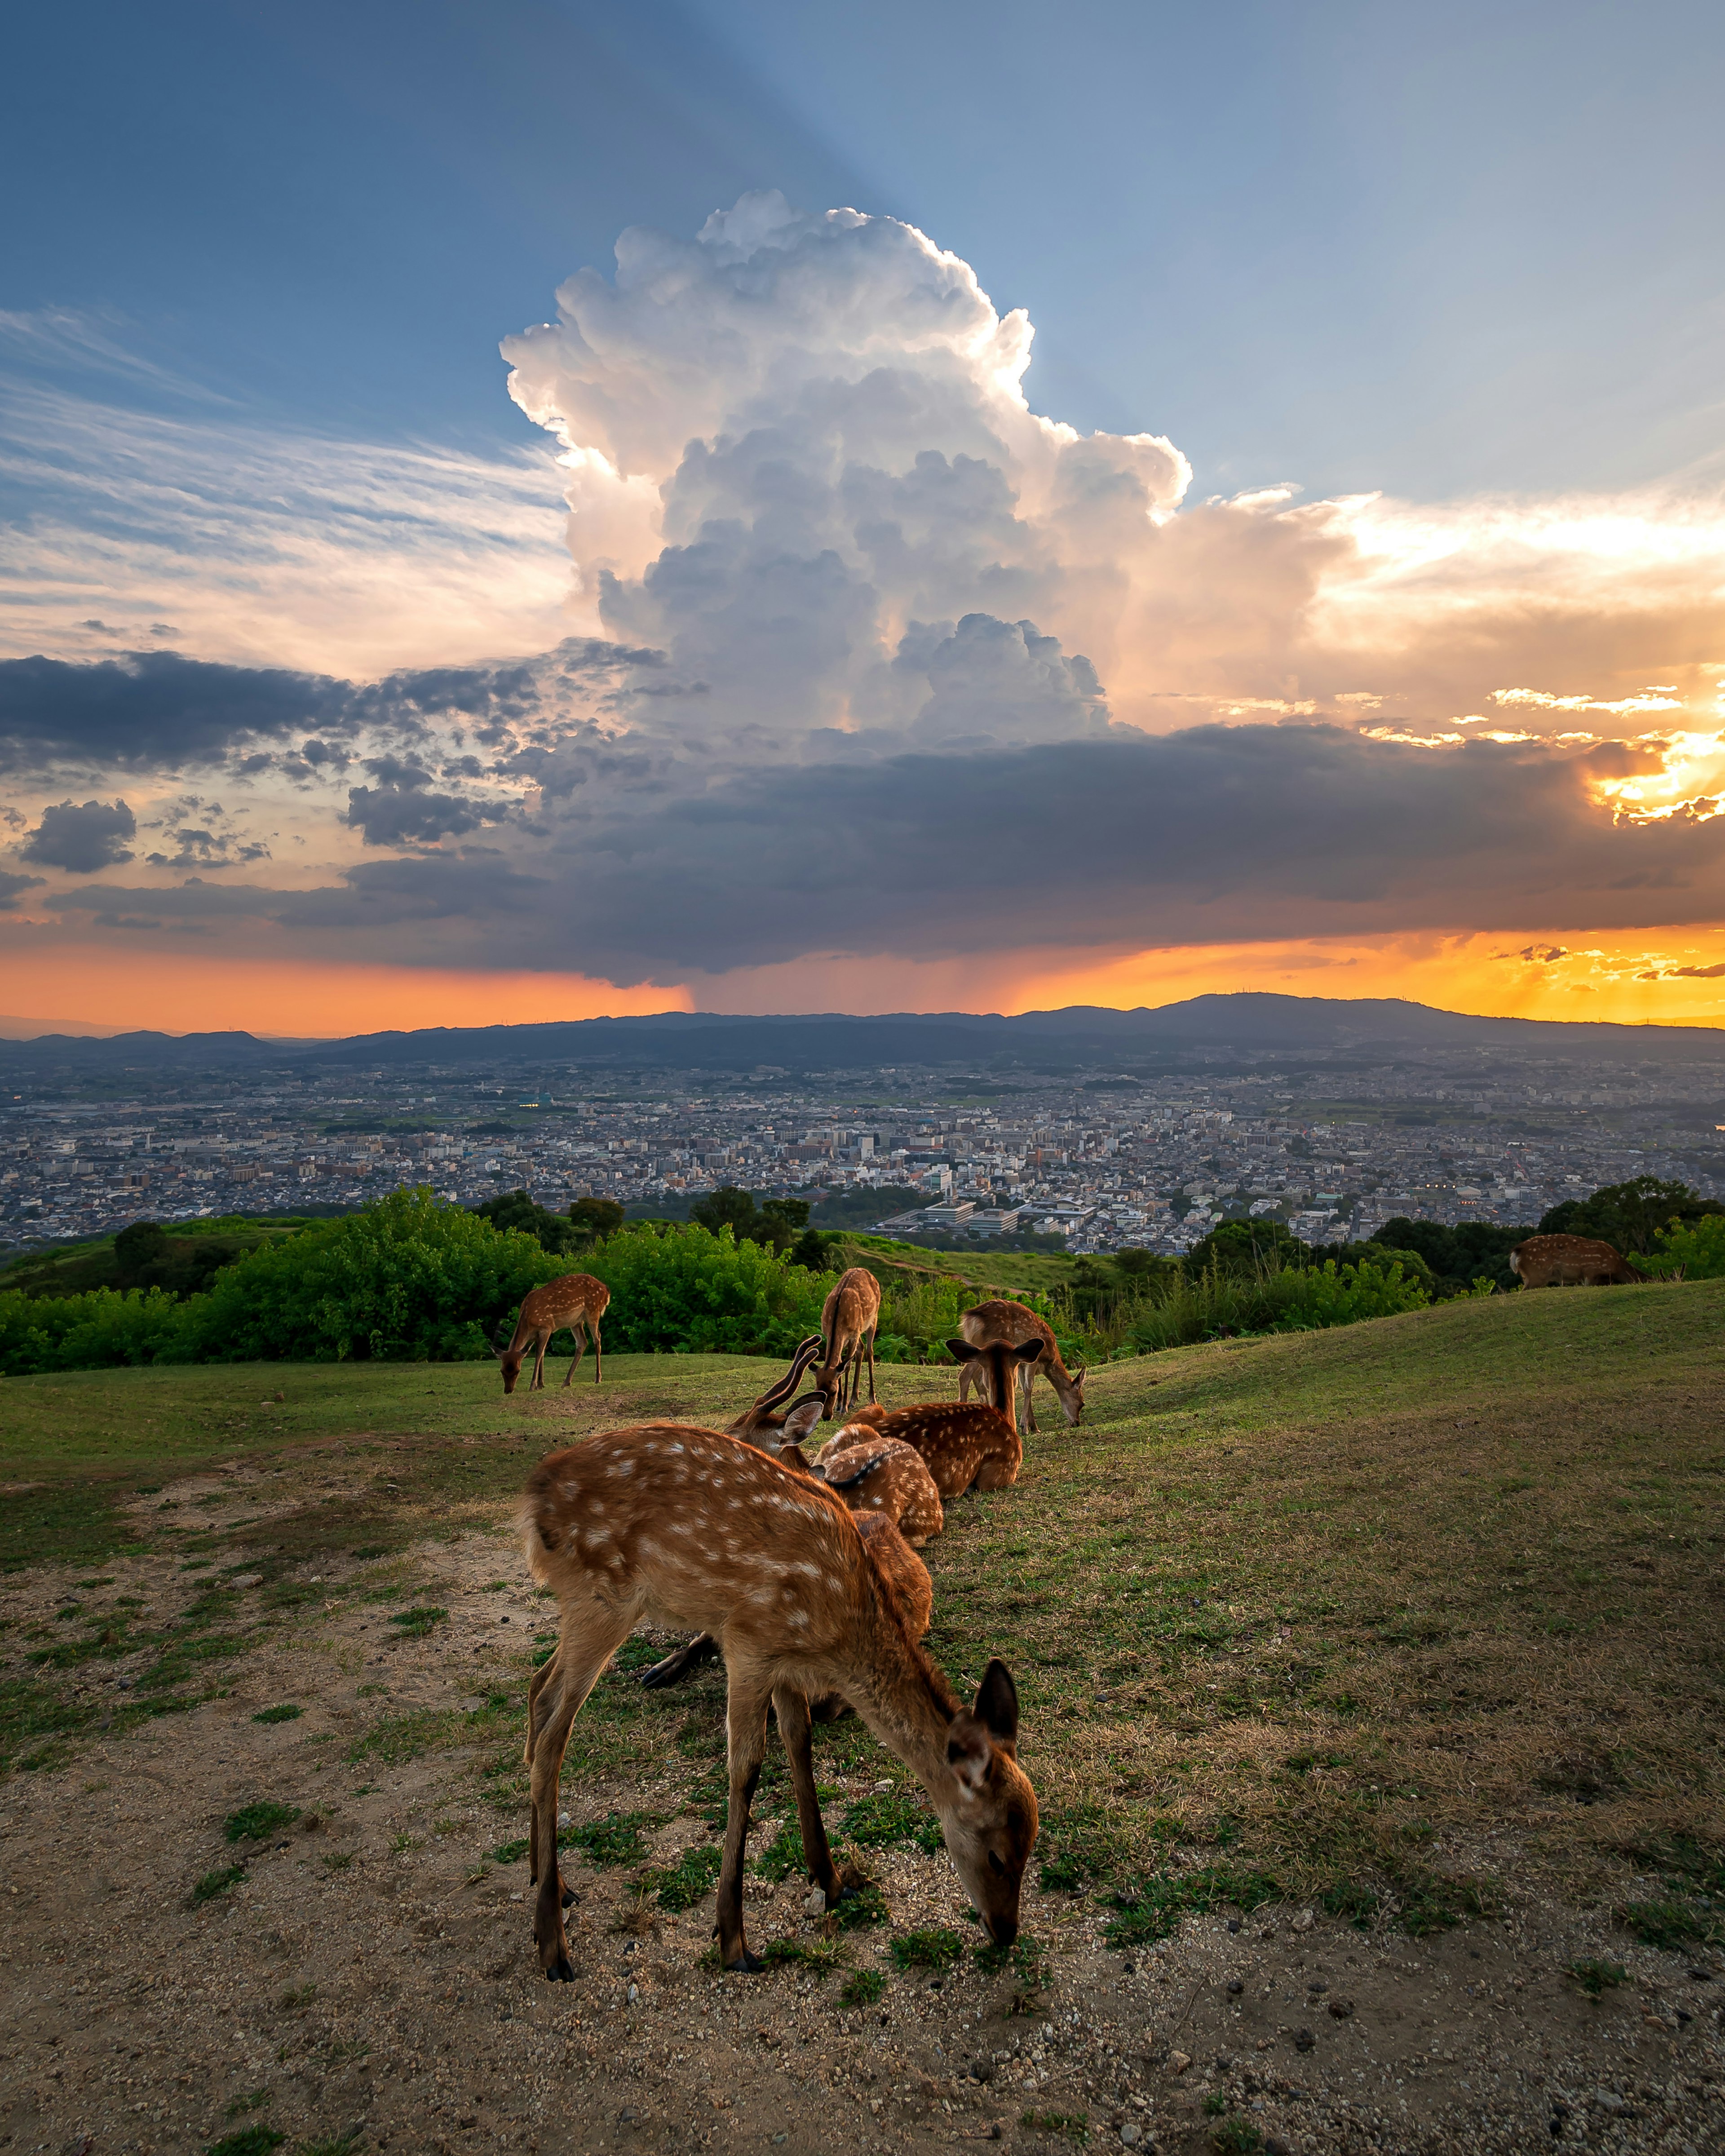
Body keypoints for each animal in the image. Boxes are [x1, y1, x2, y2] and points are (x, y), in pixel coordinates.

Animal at [496, 1259, 608, 1397]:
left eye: (517, 1371)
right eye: (502, 1371)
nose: (508, 1391)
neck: (528, 1320)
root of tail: (607, 1291)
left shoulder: (546, 1326)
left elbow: (539, 1353)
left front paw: (533, 1385)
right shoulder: (538, 1334)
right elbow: (542, 1353)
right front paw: (540, 1384)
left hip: (593, 1311)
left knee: (597, 1338)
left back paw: (598, 1378)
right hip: (576, 1322)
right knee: (582, 1343)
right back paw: (566, 1382)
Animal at [515, 1423, 1039, 1974]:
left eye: (1031, 1845)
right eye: (998, 1854)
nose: (1006, 1931)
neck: (836, 1634)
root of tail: (531, 1500)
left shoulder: (785, 1660)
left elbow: (800, 1743)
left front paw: (830, 1878)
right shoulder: (749, 1642)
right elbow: (745, 1768)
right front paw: (733, 1938)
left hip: (585, 1607)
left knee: (539, 1689)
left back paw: (550, 1880)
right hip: (603, 1598)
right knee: (553, 1739)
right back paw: (553, 1941)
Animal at [815, 1259, 884, 1414]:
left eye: (833, 1392)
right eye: (817, 1390)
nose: (825, 1413)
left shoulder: (853, 1334)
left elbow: (846, 1367)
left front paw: (843, 1406)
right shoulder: (831, 1335)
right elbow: (840, 1364)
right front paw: (840, 1403)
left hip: (873, 1318)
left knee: (869, 1352)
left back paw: (872, 1398)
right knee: (861, 1349)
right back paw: (854, 1399)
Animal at [949, 1293, 1087, 1431]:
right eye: (1082, 1403)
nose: (1077, 1423)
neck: (1049, 1361)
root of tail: (971, 1316)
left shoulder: (1021, 1363)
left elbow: (1024, 1387)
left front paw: (1033, 1426)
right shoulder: (1035, 1360)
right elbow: (1029, 1386)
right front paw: (1026, 1427)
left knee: (976, 1377)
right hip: (986, 1344)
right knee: (965, 1376)